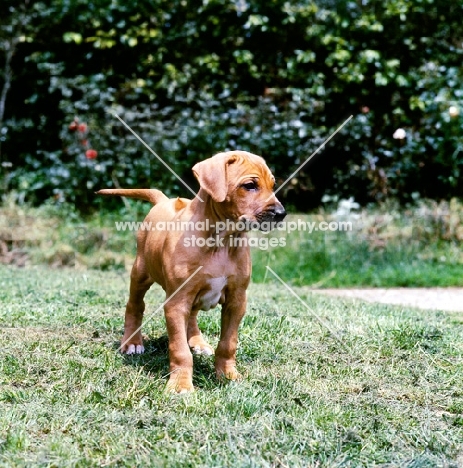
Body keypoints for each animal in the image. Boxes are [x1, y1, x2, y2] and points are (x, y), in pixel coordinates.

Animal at [98, 151, 286, 392]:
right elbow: (179, 349)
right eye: (250, 185)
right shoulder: (177, 302)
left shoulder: (237, 301)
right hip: (140, 271)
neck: (222, 241)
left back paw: (197, 341)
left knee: (192, 316)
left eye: (273, 185)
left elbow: (228, 343)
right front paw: (180, 384)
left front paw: (228, 375)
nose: (281, 213)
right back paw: (132, 342)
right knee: (135, 305)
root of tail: (164, 200)